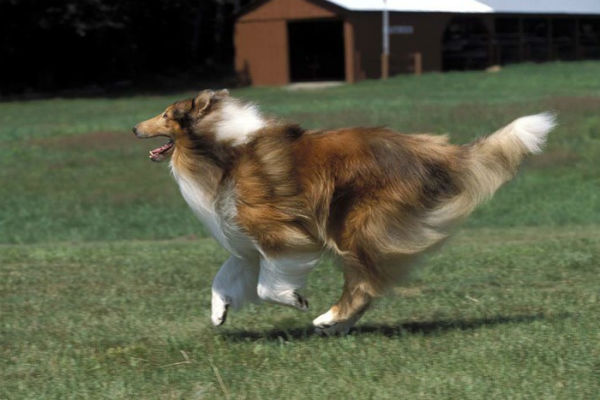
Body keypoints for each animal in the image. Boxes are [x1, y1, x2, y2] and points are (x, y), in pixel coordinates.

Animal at [134, 90, 556, 334]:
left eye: (167, 114)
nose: (135, 128)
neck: (221, 148)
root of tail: (437, 152)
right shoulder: (247, 241)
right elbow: (223, 278)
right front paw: (219, 312)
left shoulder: (279, 232)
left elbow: (267, 286)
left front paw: (295, 300)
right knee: (369, 283)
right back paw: (337, 325)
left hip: (354, 225)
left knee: (365, 283)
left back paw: (330, 318)